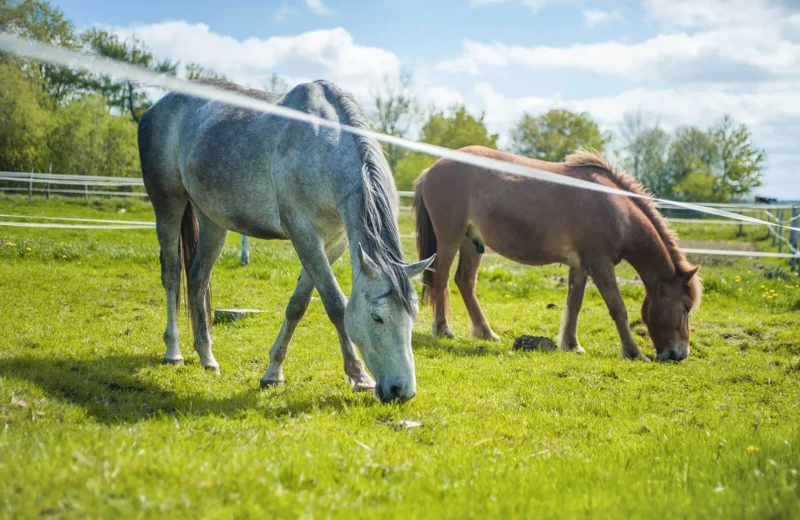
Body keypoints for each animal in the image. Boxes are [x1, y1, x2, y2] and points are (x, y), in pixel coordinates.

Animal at [140, 79, 434, 402]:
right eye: (377, 317)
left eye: (412, 315)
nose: (401, 391)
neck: (324, 147)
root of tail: (156, 108)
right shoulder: (304, 235)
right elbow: (335, 304)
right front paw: (359, 376)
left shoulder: (333, 243)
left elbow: (298, 304)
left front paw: (273, 373)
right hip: (168, 203)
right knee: (171, 273)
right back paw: (173, 351)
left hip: (212, 221)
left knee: (197, 277)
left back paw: (207, 357)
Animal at [412, 146, 700, 362]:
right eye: (686, 307)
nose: (680, 354)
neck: (615, 210)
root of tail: (431, 170)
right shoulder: (600, 264)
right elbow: (617, 307)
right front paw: (633, 352)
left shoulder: (581, 267)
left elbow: (574, 304)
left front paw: (572, 344)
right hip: (449, 238)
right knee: (441, 280)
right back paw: (443, 329)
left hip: (473, 243)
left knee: (465, 281)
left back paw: (486, 332)